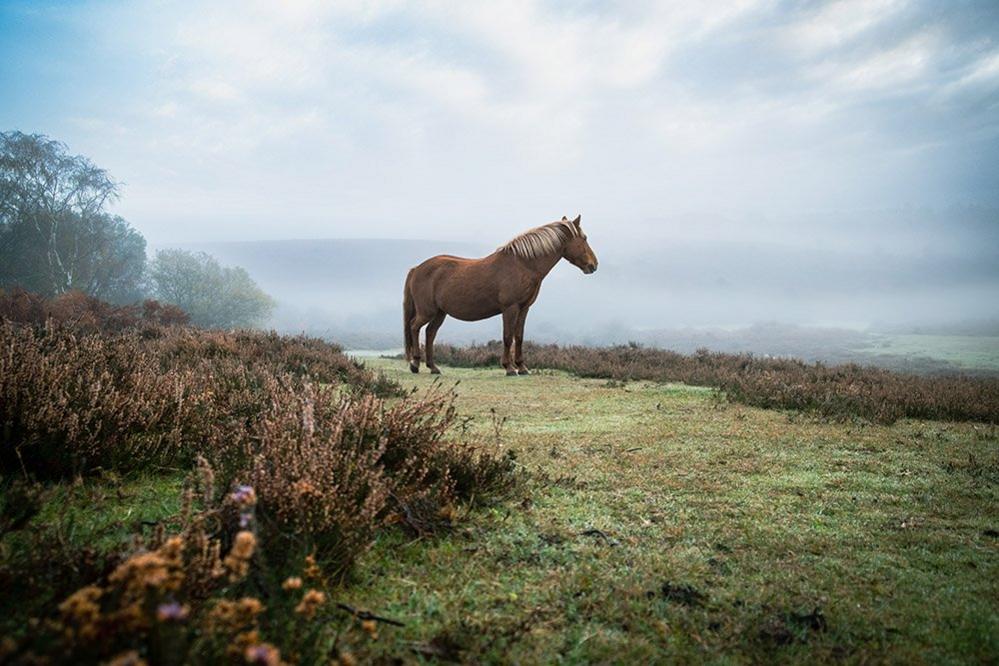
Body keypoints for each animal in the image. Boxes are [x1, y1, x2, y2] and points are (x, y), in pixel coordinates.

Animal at [402, 217, 596, 376]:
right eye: (585, 238)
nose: (594, 265)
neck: (523, 264)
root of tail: (417, 269)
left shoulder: (524, 308)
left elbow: (519, 336)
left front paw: (522, 367)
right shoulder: (510, 308)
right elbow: (507, 336)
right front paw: (509, 368)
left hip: (440, 313)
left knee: (430, 333)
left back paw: (433, 367)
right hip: (427, 311)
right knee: (414, 327)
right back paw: (415, 364)